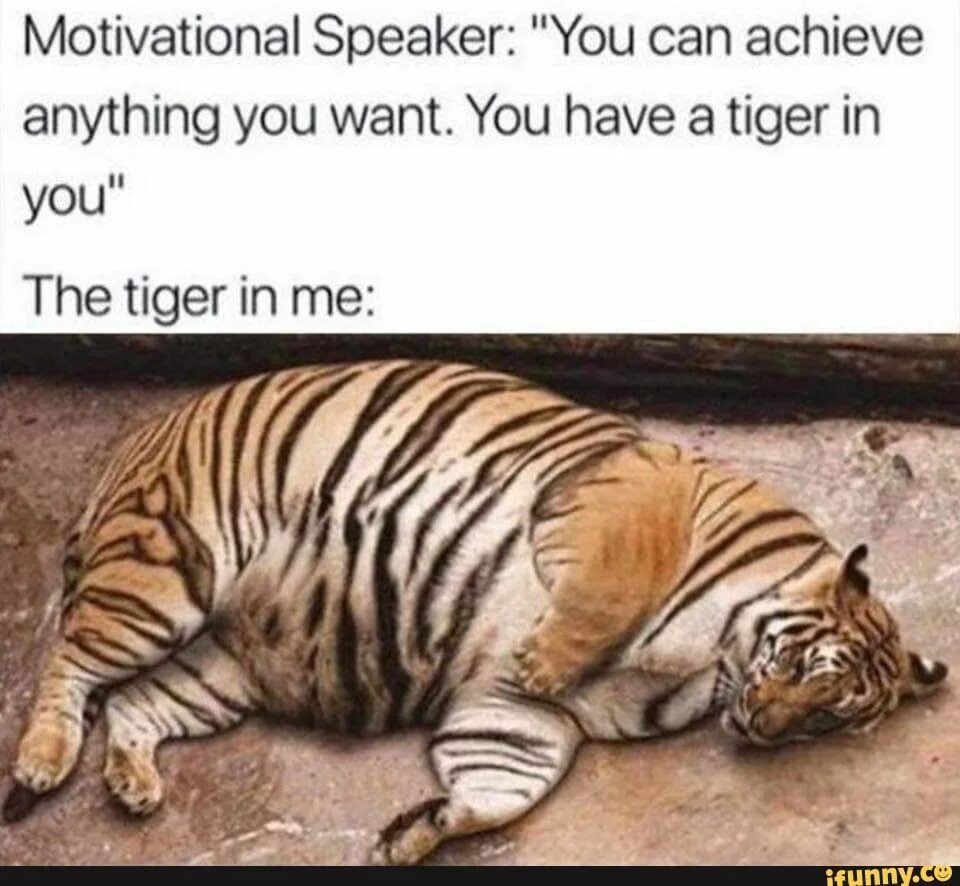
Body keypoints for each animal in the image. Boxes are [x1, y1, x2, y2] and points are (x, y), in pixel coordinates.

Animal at [2, 360, 947, 865]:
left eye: (828, 719)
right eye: (804, 669)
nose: (763, 729)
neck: (717, 665)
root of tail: (142, 435)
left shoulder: (521, 718)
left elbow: (505, 786)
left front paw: (417, 832)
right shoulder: (624, 497)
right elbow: (606, 590)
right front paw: (546, 654)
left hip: (219, 667)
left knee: (133, 703)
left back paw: (132, 784)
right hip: (165, 576)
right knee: (70, 661)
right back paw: (42, 763)